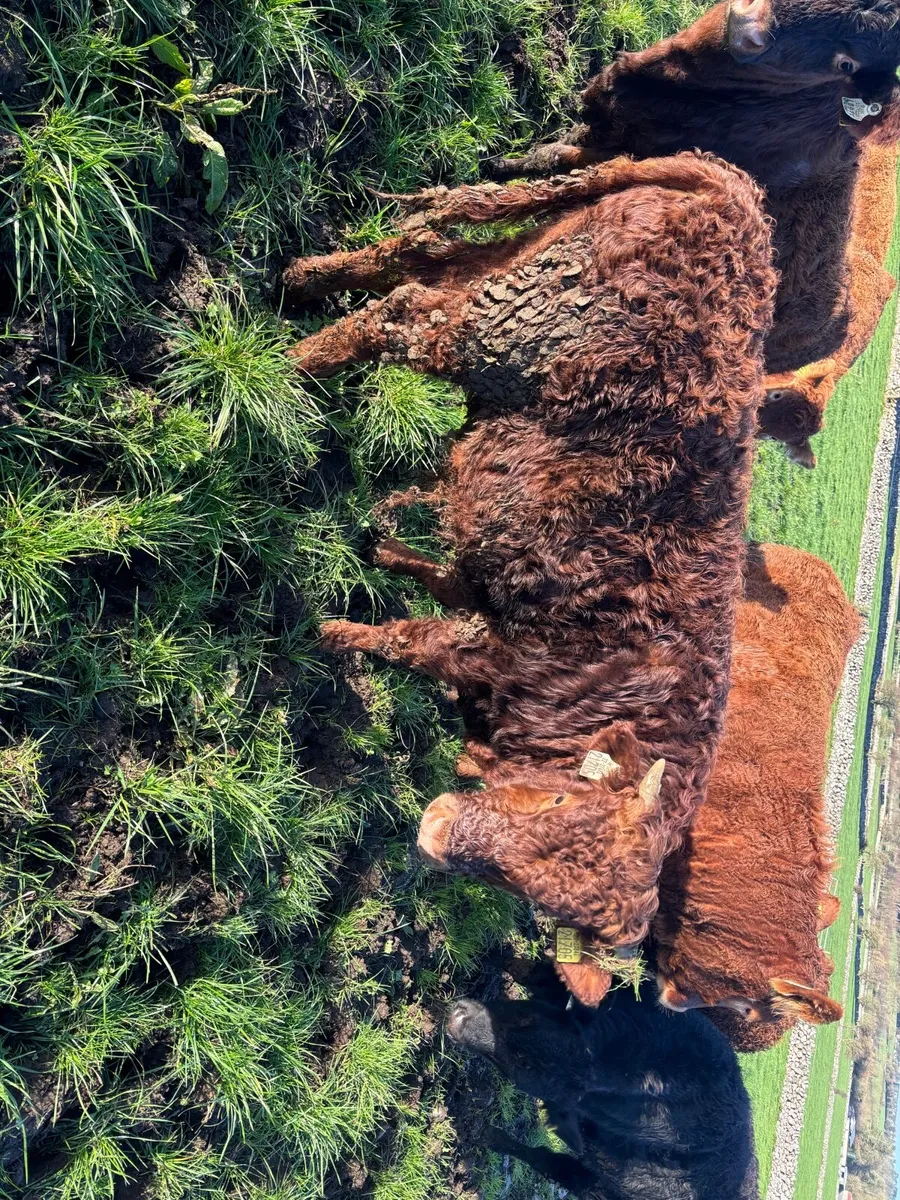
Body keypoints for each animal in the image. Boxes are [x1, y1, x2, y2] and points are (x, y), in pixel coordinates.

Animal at [285, 153, 777, 1004]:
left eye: (525, 894)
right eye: (555, 801)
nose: (436, 834)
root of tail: (732, 195)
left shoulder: (487, 609)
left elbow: (436, 584)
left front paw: (378, 551)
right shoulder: (495, 651)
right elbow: (406, 640)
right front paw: (328, 633)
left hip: (520, 266)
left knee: (418, 260)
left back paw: (302, 282)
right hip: (508, 325)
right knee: (403, 314)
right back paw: (286, 368)